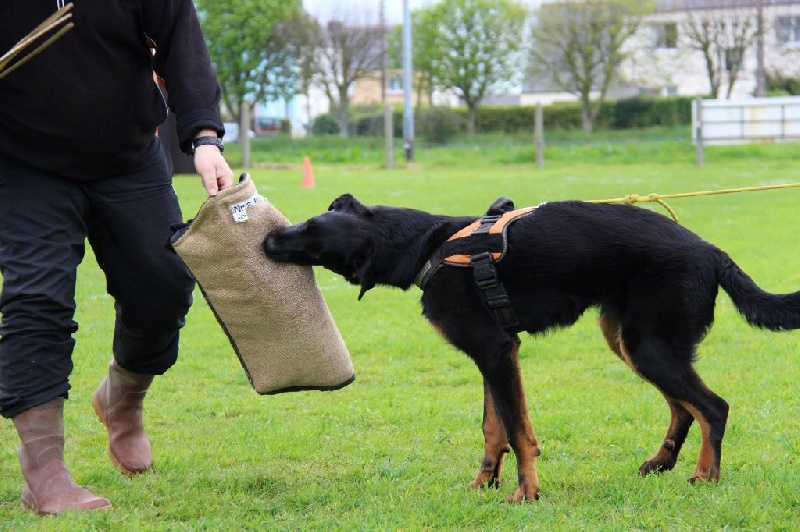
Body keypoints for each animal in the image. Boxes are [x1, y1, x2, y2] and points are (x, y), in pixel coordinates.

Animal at [264, 193, 800, 500]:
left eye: (312, 242)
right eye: (305, 223)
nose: (268, 240)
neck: (429, 245)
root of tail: (712, 250)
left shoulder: (496, 353)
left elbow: (519, 431)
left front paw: (526, 493)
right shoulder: (494, 357)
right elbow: (493, 428)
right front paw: (484, 483)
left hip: (649, 346)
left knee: (713, 407)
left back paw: (705, 476)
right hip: (631, 342)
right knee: (683, 406)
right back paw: (661, 463)